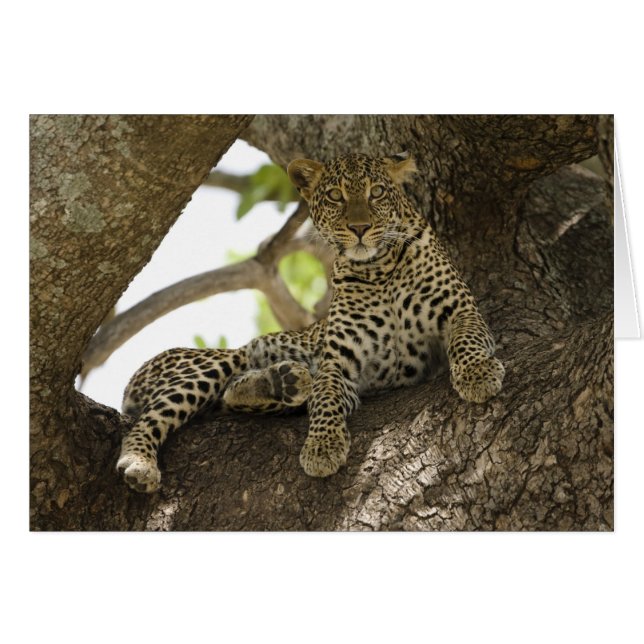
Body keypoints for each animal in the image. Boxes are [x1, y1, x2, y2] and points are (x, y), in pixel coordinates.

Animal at [116, 153, 505, 493]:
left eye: (376, 192)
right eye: (335, 196)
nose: (359, 228)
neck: (378, 270)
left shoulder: (460, 310)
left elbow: (467, 340)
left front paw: (478, 375)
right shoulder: (338, 361)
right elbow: (326, 397)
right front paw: (322, 447)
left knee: (232, 396)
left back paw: (282, 381)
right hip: (212, 361)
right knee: (154, 416)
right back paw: (140, 463)